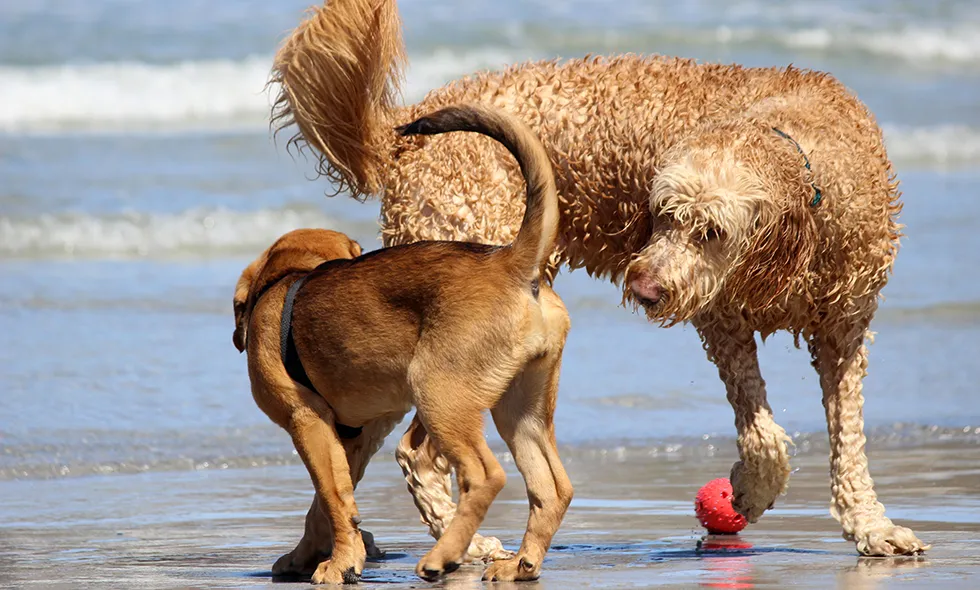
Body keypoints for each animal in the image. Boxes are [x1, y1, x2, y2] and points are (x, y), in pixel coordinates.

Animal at [233, 104, 576, 584]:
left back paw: (441, 557)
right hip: (521, 410)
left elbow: (332, 498)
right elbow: (327, 504)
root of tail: (509, 260)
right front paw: (313, 556)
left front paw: (337, 564)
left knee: (486, 475)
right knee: (553, 487)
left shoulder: (307, 421)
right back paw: (521, 563)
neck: (286, 281)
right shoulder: (349, 437)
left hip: (439, 394)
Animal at [268, 0, 928, 560]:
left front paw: (872, 526)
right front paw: (748, 492)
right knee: (417, 454)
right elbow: (762, 436)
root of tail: (404, 127)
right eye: (662, 214)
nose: (645, 287)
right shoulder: (723, 323)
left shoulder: (844, 335)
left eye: (710, 231)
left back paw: (323, 547)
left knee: (356, 447)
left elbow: (849, 442)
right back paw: (463, 544)